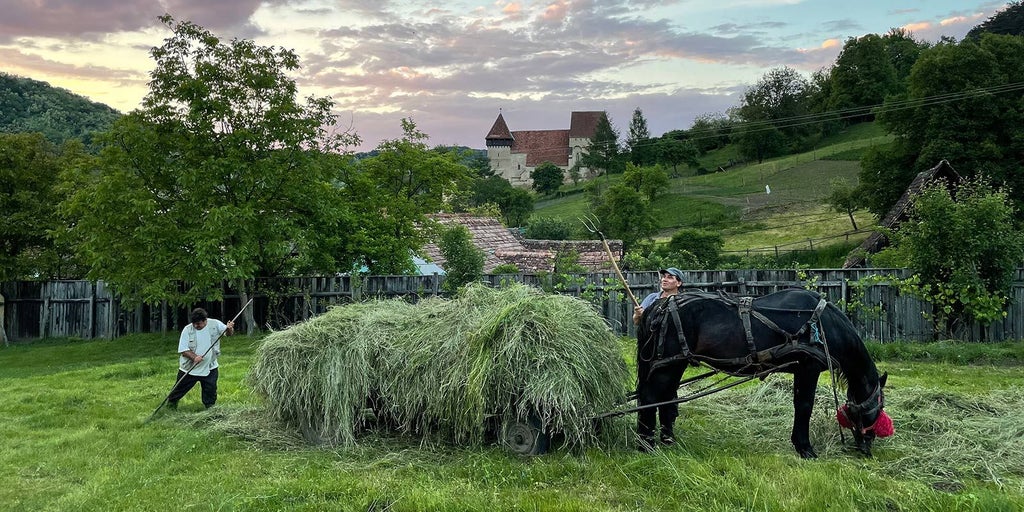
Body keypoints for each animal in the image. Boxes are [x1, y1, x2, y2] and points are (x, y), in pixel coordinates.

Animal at [638, 286, 888, 458]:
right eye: (879, 408)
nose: (868, 445)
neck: (824, 325)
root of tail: (658, 306)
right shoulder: (809, 367)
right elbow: (804, 405)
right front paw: (805, 447)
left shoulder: (802, 369)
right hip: (669, 365)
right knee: (651, 398)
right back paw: (646, 444)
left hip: (673, 365)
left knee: (665, 398)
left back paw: (667, 439)